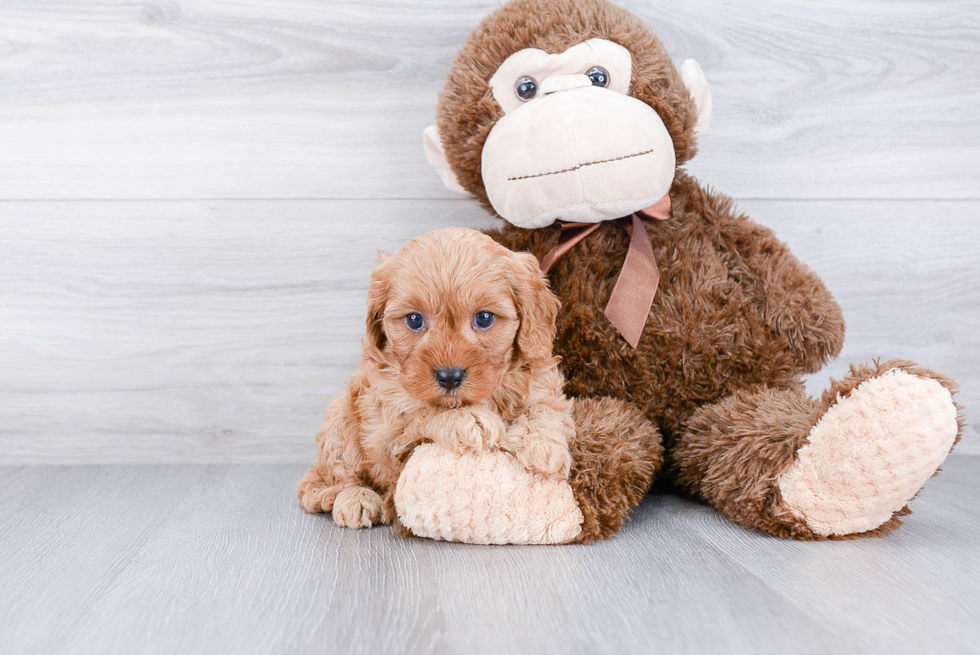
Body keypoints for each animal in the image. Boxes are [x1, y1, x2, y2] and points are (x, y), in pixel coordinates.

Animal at [298, 228, 576, 532]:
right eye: (414, 320)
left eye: (484, 318)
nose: (449, 376)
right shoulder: (383, 427)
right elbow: (420, 415)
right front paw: (468, 419)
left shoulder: (541, 381)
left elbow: (544, 407)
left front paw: (543, 447)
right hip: (340, 420)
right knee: (334, 478)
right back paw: (355, 499)